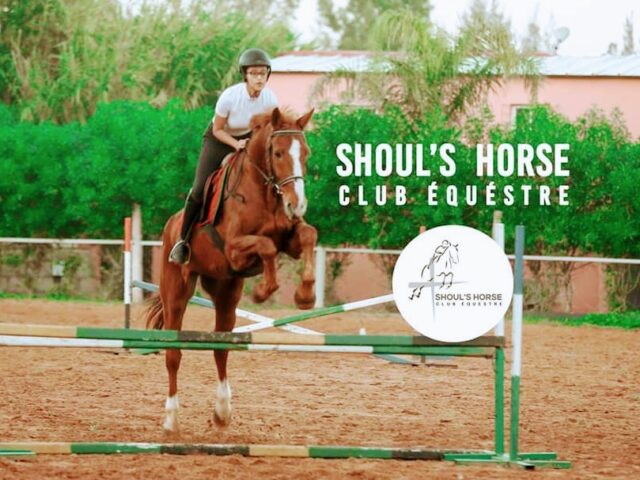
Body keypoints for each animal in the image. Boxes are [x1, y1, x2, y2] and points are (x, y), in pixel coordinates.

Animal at [144, 107, 317, 433]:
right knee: (174, 353)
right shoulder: (235, 250)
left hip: (226, 292)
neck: (263, 192)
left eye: (306, 154)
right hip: (176, 293)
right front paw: (263, 291)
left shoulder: (289, 238)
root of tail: (171, 225)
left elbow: (308, 235)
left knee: (220, 348)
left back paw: (222, 412)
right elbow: (266, 246)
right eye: (277, 153)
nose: (297, 205)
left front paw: (306, 296)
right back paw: (171, 418)